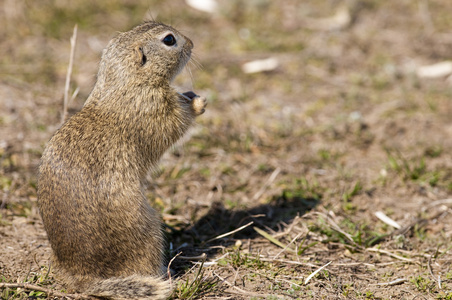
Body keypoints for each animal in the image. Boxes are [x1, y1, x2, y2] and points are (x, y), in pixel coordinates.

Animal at [37, 21, 207, 300]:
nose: (192, 43)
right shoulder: (156, 111)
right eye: (169, 40)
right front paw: (198, 103)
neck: (128, 80)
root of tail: (82, 279)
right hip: (148, 229)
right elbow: (176, 122)